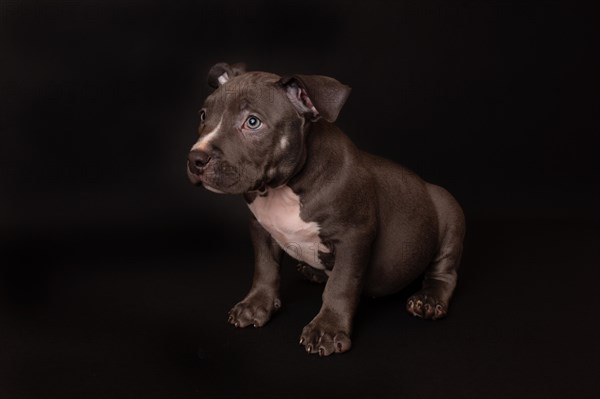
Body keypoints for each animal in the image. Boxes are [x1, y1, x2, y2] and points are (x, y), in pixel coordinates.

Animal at [186, 62, 464, 356]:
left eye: (252, 122)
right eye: (203, 115)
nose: (195, 158)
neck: (284, 189)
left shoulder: (353, 238)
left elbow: (341, 285)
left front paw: (327, 330)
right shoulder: (260, 227)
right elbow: (265, 268)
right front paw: (256, 306)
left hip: (450, 213)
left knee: (445, 272)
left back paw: (429, 299)